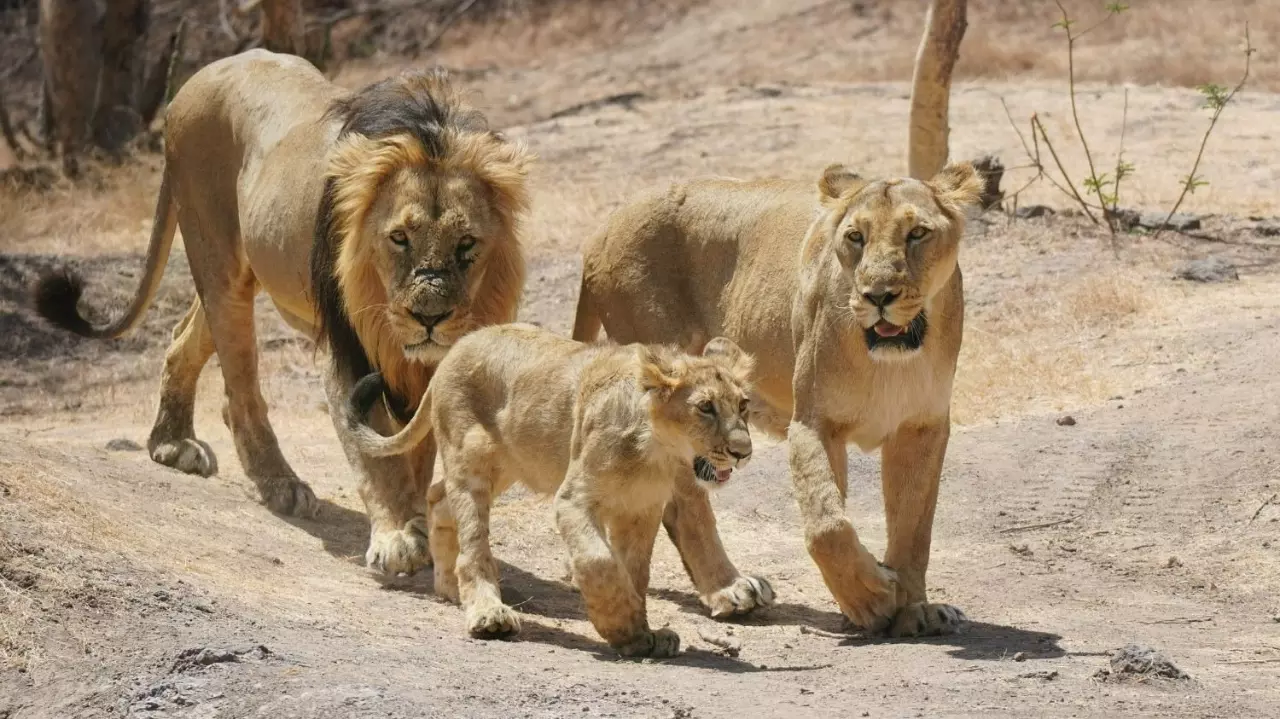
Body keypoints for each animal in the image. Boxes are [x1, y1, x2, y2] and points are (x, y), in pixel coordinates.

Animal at [32, 50, 532, 575]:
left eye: (467, 244)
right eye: (399, 238)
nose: (429, 318)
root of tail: (198, 78)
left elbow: (417, 444)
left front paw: (422, 524)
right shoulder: (346, 348)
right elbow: (375, 453)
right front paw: (397, 535)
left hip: (234, 274)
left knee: (182, 338)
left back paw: (171, 444)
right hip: (218, 259)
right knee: (239, 390)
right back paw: (280, 486)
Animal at [343, 323, 758, 657]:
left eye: (743, 405)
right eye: (705, 407)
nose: (743, 452)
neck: (656, 453)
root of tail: (455, 348)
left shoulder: (641, 508)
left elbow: (635, 571)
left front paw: (640, 636)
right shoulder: (573, 500)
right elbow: (600, 561)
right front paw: (619, 622)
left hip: (506, 466)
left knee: (438, 498)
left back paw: (448, 587)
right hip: (471, 456)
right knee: (472, 544)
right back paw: (486, 613)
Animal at [571, 160, 984, 637]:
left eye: (917, 233)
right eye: (855, 237)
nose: (878, 296)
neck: (889, 362)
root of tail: (601, 230)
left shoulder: (922, 427)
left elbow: (914, 525)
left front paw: (914, 608)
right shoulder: (812, 422)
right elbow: (827, 523)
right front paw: (871, 597)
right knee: (685, 501)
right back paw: (729, 589)